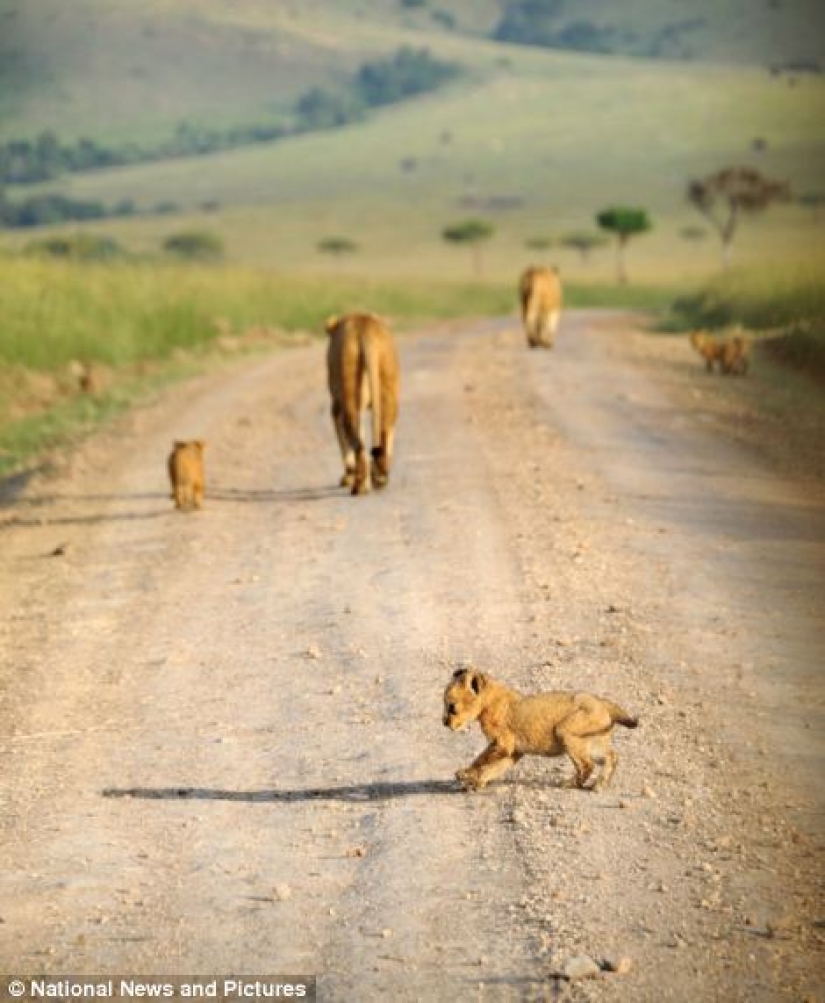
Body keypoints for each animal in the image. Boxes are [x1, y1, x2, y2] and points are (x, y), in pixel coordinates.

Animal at [325, 312, 399, 496]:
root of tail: (365, 329)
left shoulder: (336, 406)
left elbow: (343, 442)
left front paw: (347, 476)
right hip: (388, 387)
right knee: (384, 433)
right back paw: (380, 478)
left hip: (349, 390)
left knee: (357, 442)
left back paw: (359, 486)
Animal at [443, 668, 637, 792]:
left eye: (451, 707)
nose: (444, 723)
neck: (488, 703)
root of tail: (602, 702)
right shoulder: (513, 751)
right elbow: (495, 767)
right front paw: (476, 781)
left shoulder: (503, 744)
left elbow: (481, 760)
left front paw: (466, 775)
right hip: (592, 741)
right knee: (612, 757)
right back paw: (600, 785)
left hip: (565, 730)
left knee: (586, 765)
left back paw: (570, 784)